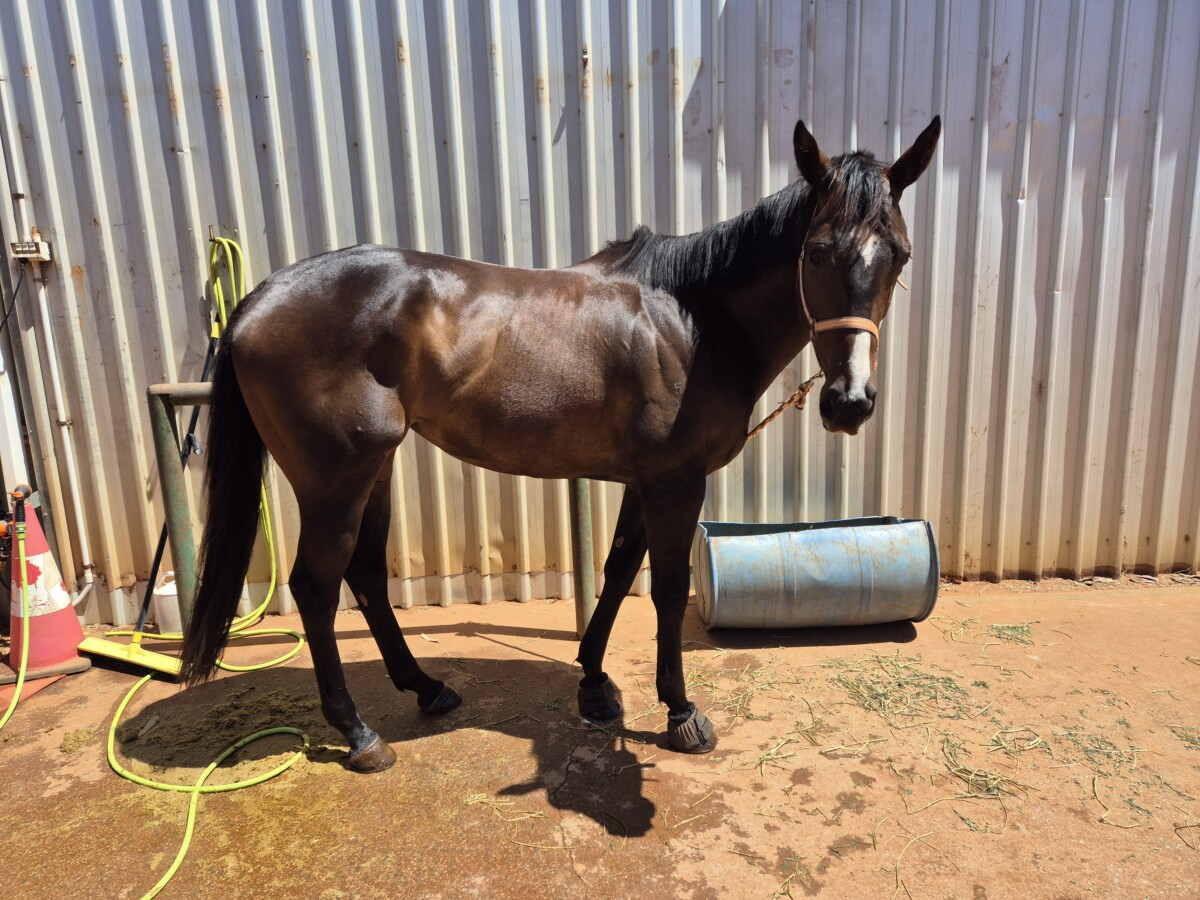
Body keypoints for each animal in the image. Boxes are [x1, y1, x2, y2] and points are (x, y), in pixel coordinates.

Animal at [180, 117, 941, 772]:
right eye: (815, 252)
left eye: (900, 255)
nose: (849, 402)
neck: (693, 318)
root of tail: (254, 302)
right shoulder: (676, 481)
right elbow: (669, 588)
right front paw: (680, 711)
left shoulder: (646, 480)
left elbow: (617, 570)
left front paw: (594, 682)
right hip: (336, 477)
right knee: (316, 585)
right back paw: (360, 734)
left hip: (377, 467)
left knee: (365, 575)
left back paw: (426, 688)